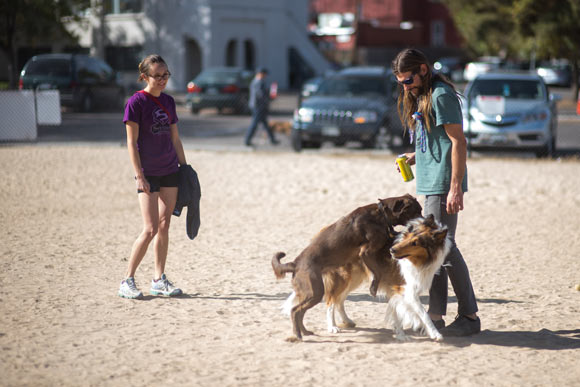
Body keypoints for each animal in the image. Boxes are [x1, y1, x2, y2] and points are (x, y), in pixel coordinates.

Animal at [272, 194, 422, 342]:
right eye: (416, 211)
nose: (425, 220)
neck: (381, 214)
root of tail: (294, 264)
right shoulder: (366, 252)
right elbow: (377, 272)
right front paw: (373, 288)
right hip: (316, 292)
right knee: (296, 311)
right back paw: (299, 334)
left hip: (315, 291)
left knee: (301, 311)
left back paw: (305, 331)